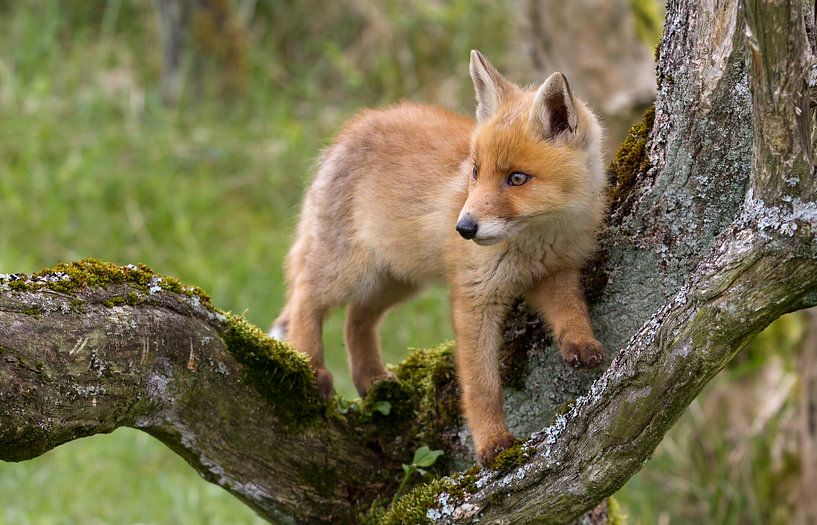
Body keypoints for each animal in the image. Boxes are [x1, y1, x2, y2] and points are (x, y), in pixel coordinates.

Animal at [270, 50, 604, 462]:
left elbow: (571, 311)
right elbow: (481, 387)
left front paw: (582, 343)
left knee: (355, 321)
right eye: (475, 172)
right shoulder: (474, 299)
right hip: (349, 273)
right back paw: (313, 367)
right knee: (306, 300)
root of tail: (357, 124)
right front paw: (491, 443)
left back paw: (372, 381)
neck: (535, 243)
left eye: (517, 178)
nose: (464, 228)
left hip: (395, 280)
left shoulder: (557, 272)